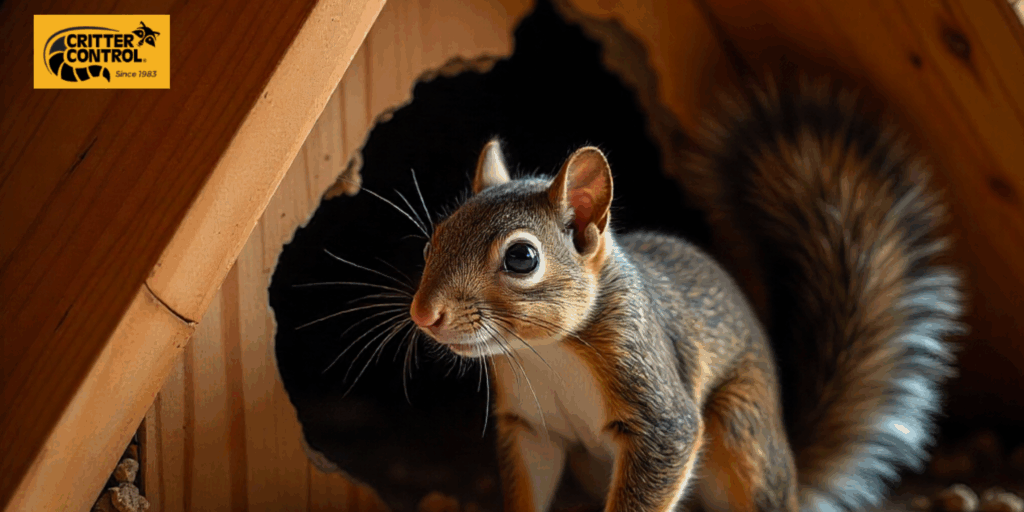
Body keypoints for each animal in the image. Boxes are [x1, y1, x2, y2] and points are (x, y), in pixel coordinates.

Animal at [407, 78, 964, 512]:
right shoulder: (530, 427)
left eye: (522, 258)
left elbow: (665, 450)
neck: (544, 353)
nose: (424, 314)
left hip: (740, 433)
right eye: (434, 239)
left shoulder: (656, 404)